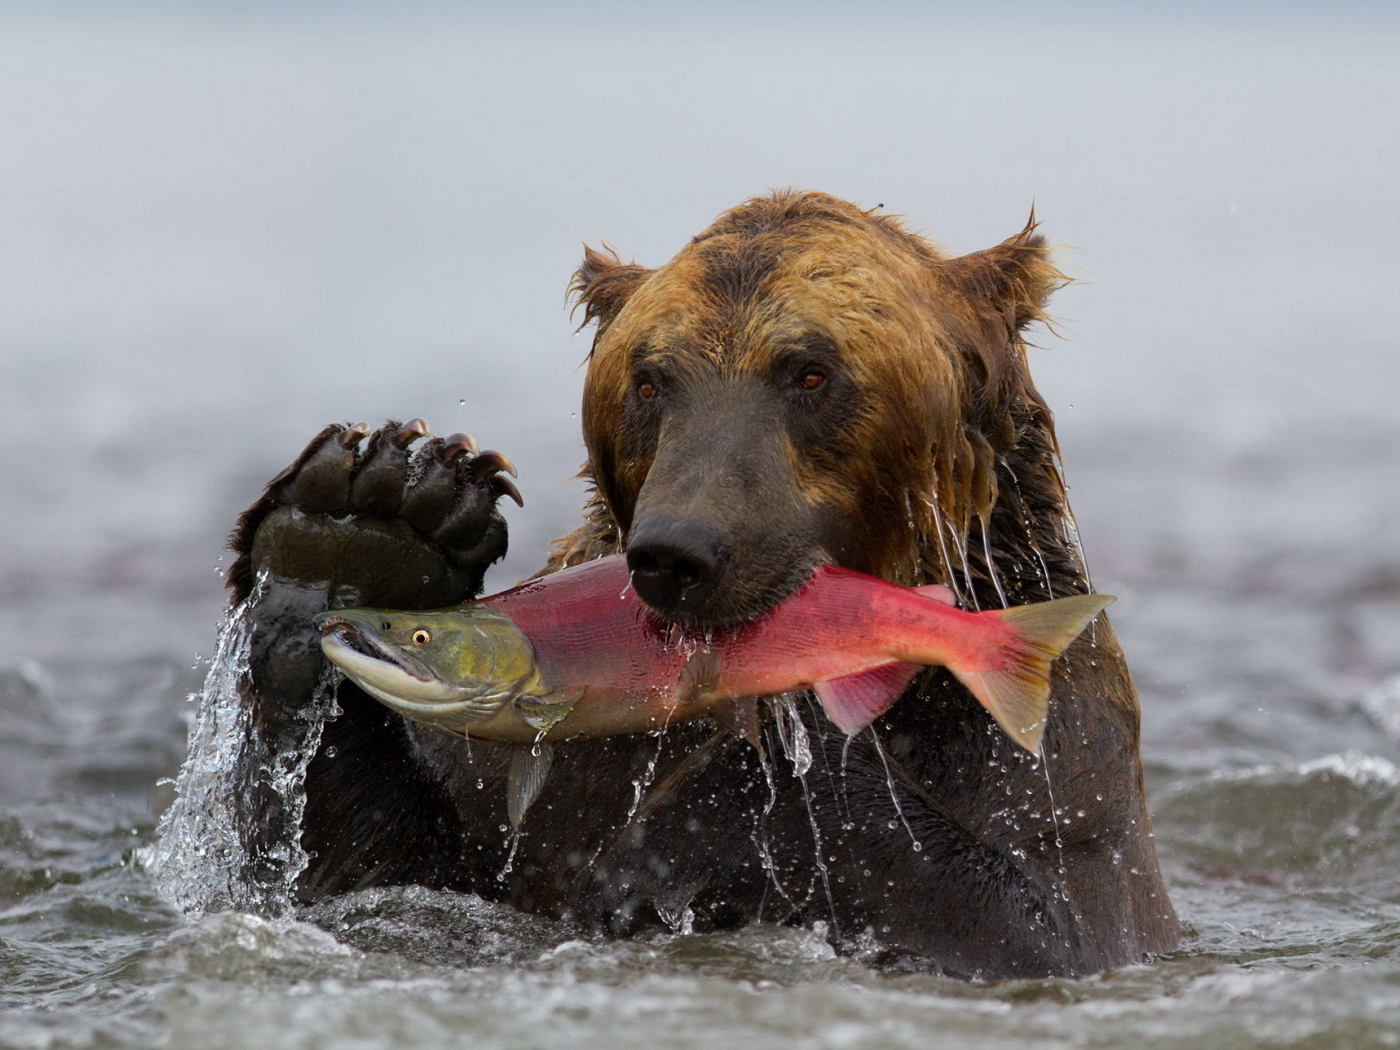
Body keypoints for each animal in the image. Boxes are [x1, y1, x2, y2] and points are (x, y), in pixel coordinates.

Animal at [226, 187, 1181, 980]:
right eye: (650, 379)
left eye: (810, 371)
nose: (678, 552)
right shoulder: (532, 780)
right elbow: (366, 874)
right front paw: (368, 523)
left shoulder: (1044, 760)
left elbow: (1042, 921)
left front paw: (684, 830)